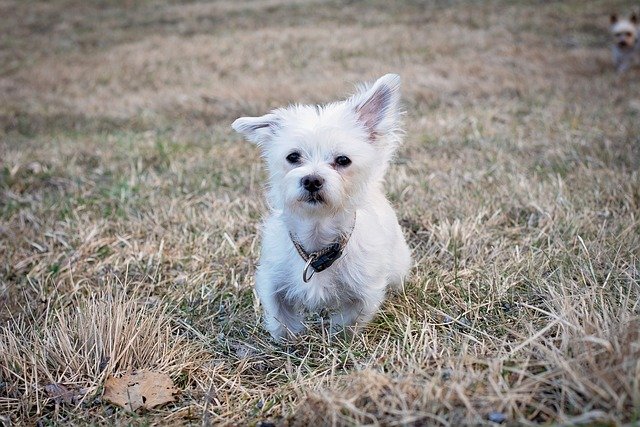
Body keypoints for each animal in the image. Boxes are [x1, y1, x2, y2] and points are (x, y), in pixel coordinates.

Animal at [232, 73, 412, 342]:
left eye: (343, 160)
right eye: (293, 156)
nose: (312, 180)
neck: (317, 237)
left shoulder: (365, 290)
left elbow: (351, 319)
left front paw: (339, 338)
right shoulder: (273, 279)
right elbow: (279, 315)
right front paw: (288, 341)